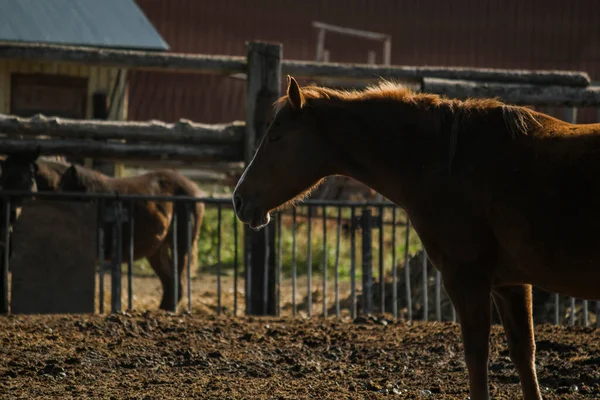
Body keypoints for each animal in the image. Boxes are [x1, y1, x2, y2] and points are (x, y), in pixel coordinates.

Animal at [57, 162, 205, 310]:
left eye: (67, 190)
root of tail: (195, 189)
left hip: (182, 245)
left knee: (179, 277)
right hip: (157, 250)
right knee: (170, 280)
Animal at [232, 76, 600, 400]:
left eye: (275, 137)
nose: (238, 199)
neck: (447, 162)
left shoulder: (466, 277)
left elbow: (477, 355)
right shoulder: (510, 283)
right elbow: (524, 355)